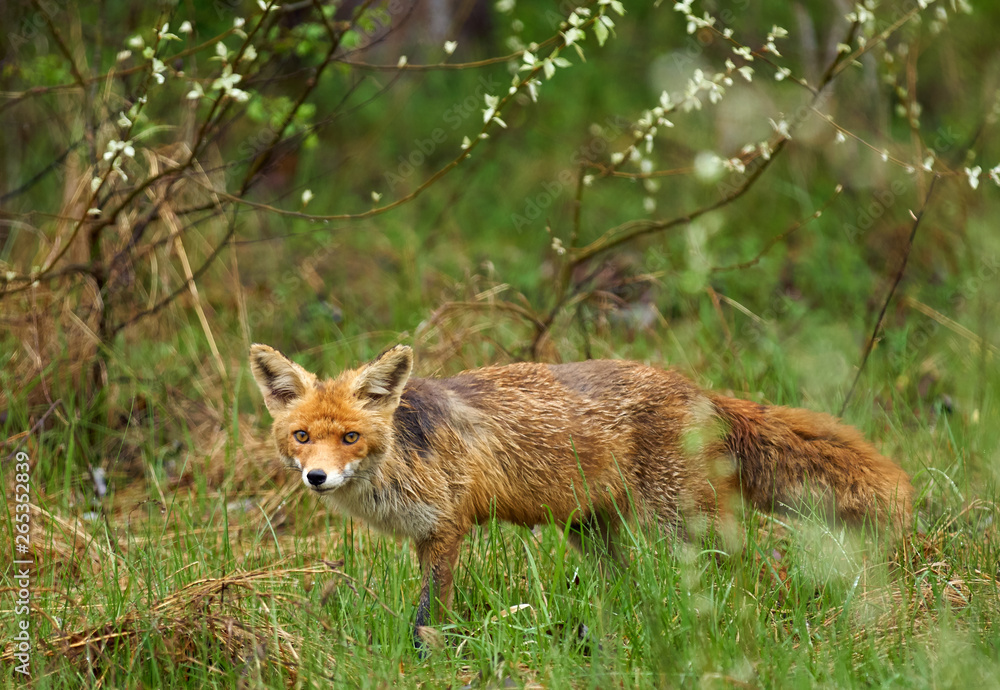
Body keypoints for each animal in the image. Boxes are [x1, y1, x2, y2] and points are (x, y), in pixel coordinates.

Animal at [249, 343, 913, 644]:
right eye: (302, 437)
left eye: (351, 437)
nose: (316, 478)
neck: (397, 461)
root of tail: (693, 388)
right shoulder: (426, 536)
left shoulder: (446, 529)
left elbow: (427, 614)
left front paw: (424, 657)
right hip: (592, 533)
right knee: (628, 582)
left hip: (683, 523)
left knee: (753, 570)